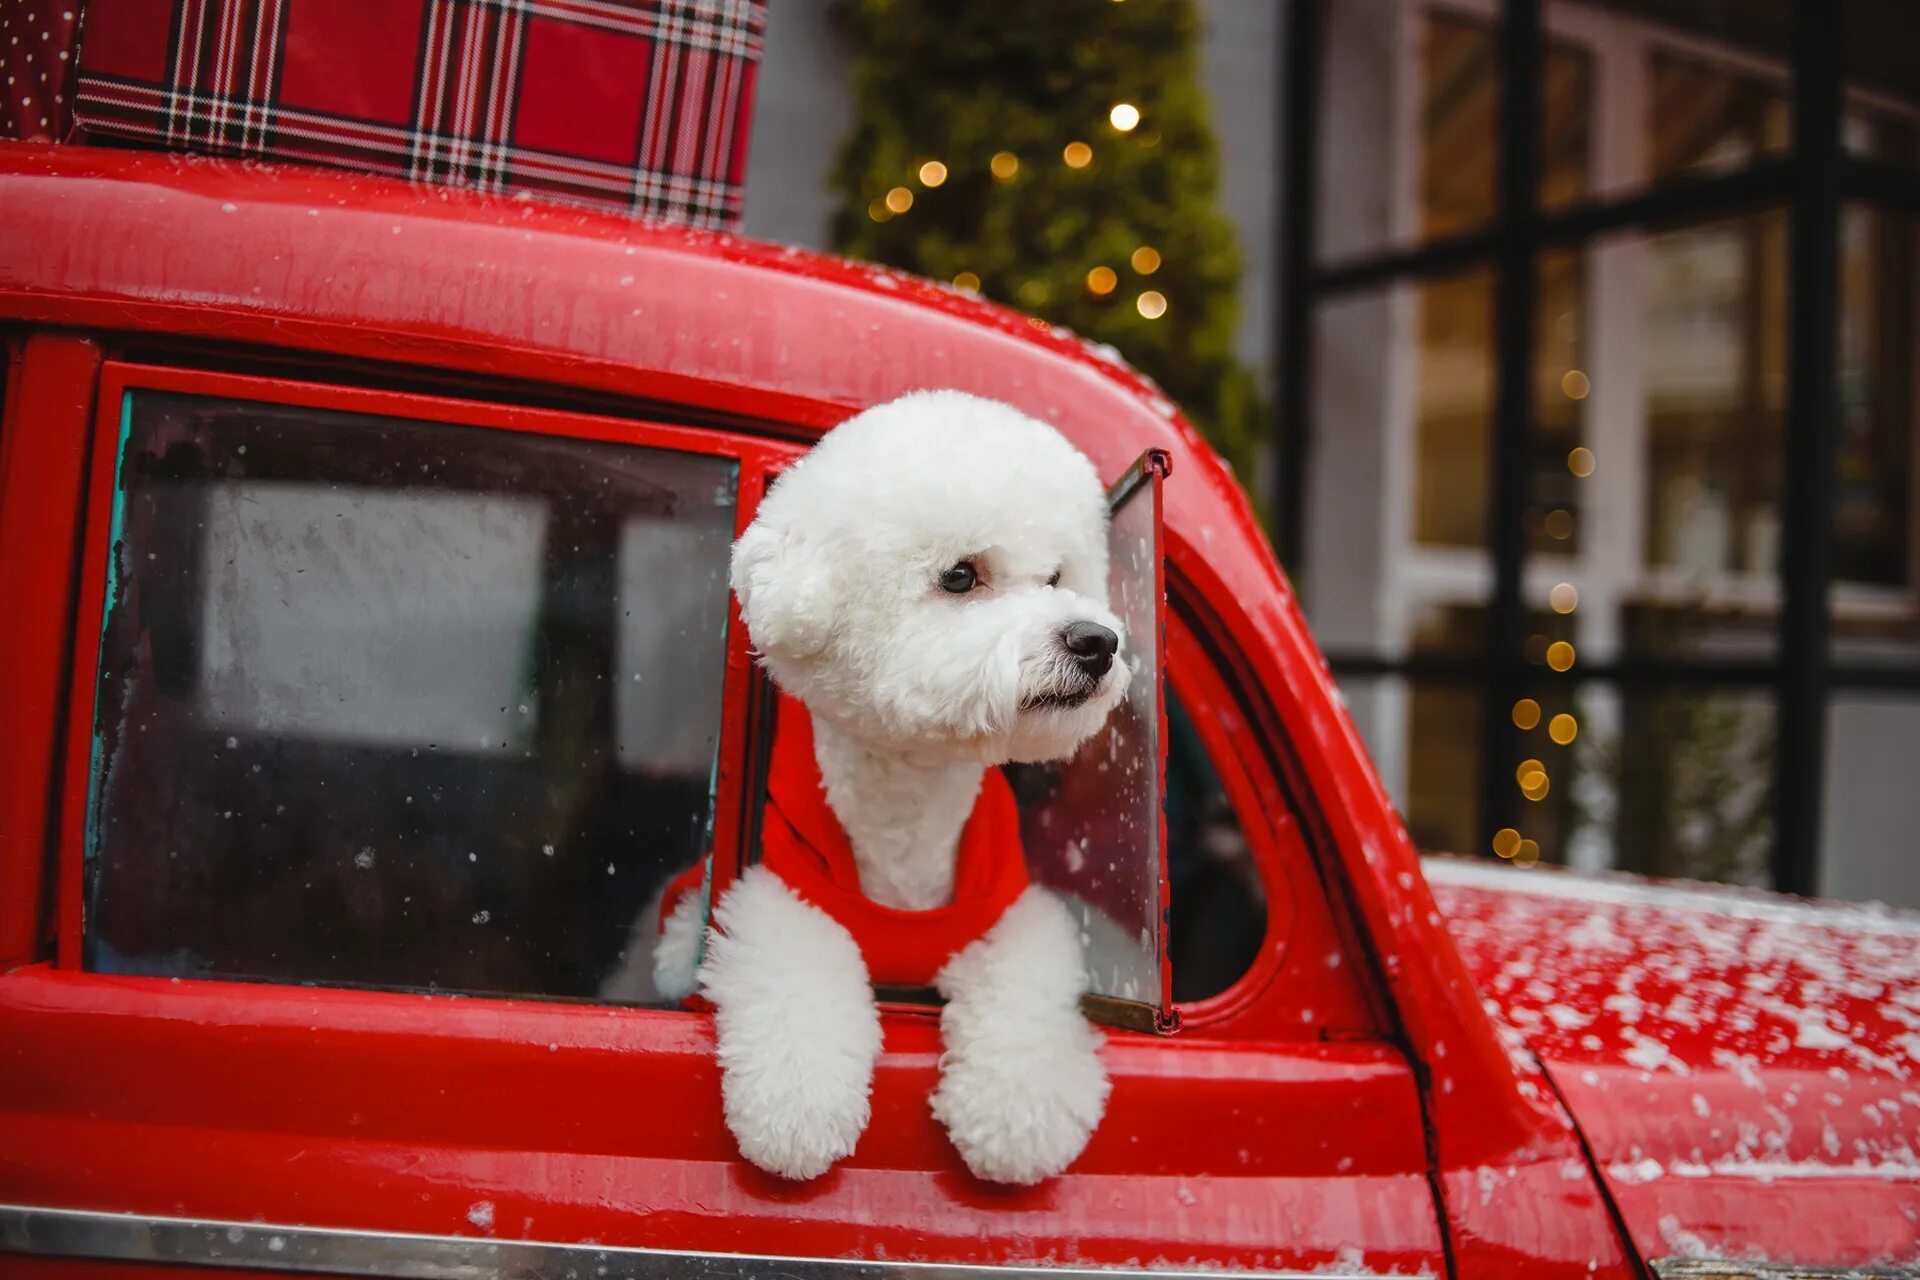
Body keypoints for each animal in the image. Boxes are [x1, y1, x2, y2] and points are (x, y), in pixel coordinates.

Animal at [652, 387, 1128, 1182]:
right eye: (961, 575)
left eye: (1059, 577)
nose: (1096, 641)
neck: (910, 804)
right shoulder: (776, 888)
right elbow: (795, 960)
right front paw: (798, 1107)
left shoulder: (1007, 906)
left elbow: (1025, 983)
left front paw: (1016, 1112)